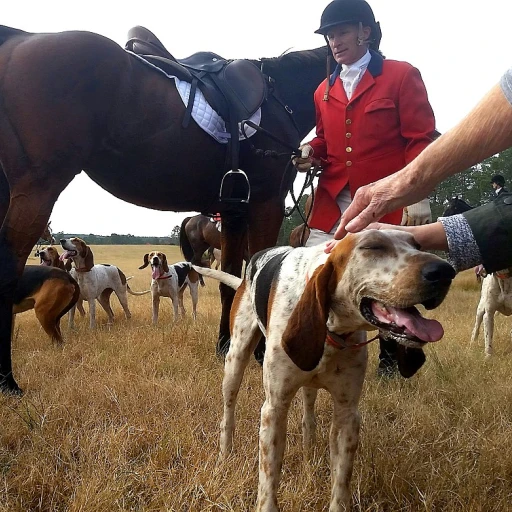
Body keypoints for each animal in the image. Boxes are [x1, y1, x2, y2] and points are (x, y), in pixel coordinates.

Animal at [0, 23, 332, 392]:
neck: (280, 97)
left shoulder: (234, 212)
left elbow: (230, 280)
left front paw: (225, 346)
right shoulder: (266, 203)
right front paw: (259, 356)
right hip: (37, 188)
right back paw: (7, 380)